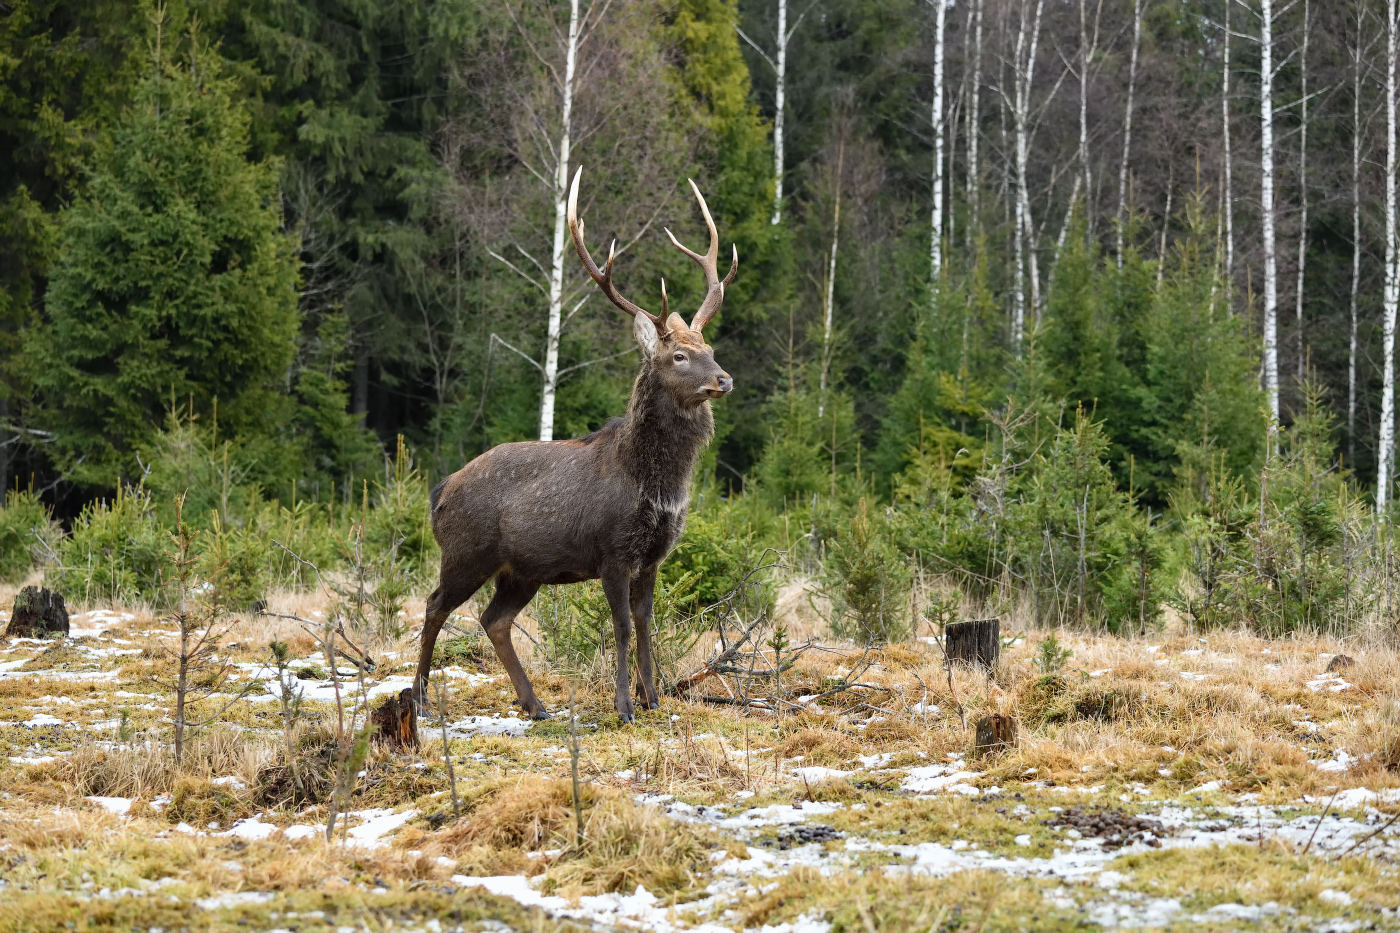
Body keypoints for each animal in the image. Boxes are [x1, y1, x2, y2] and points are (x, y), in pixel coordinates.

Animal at [411, 167, 739, 717]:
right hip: (466, 551)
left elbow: (647, 624)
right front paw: (624, 705)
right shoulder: (612, 551)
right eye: (679, 357)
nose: (724, 379)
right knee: (435, 605)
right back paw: (417, 698)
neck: (657, 485)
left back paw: (534, 703)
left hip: (522, 570)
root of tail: (440, 491)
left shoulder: (654, 556)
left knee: (493, 619)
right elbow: (622, 627)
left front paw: (653, 699)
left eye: (710, 347)